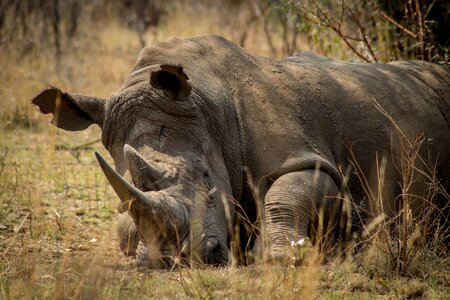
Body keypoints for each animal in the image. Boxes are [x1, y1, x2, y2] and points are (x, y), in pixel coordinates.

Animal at [32, 35, 450, 268]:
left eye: (205, 176)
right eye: (122, 202)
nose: (178, 259)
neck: (207, 103)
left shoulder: (305, 157)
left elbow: (285, 193)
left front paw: (280, 257)